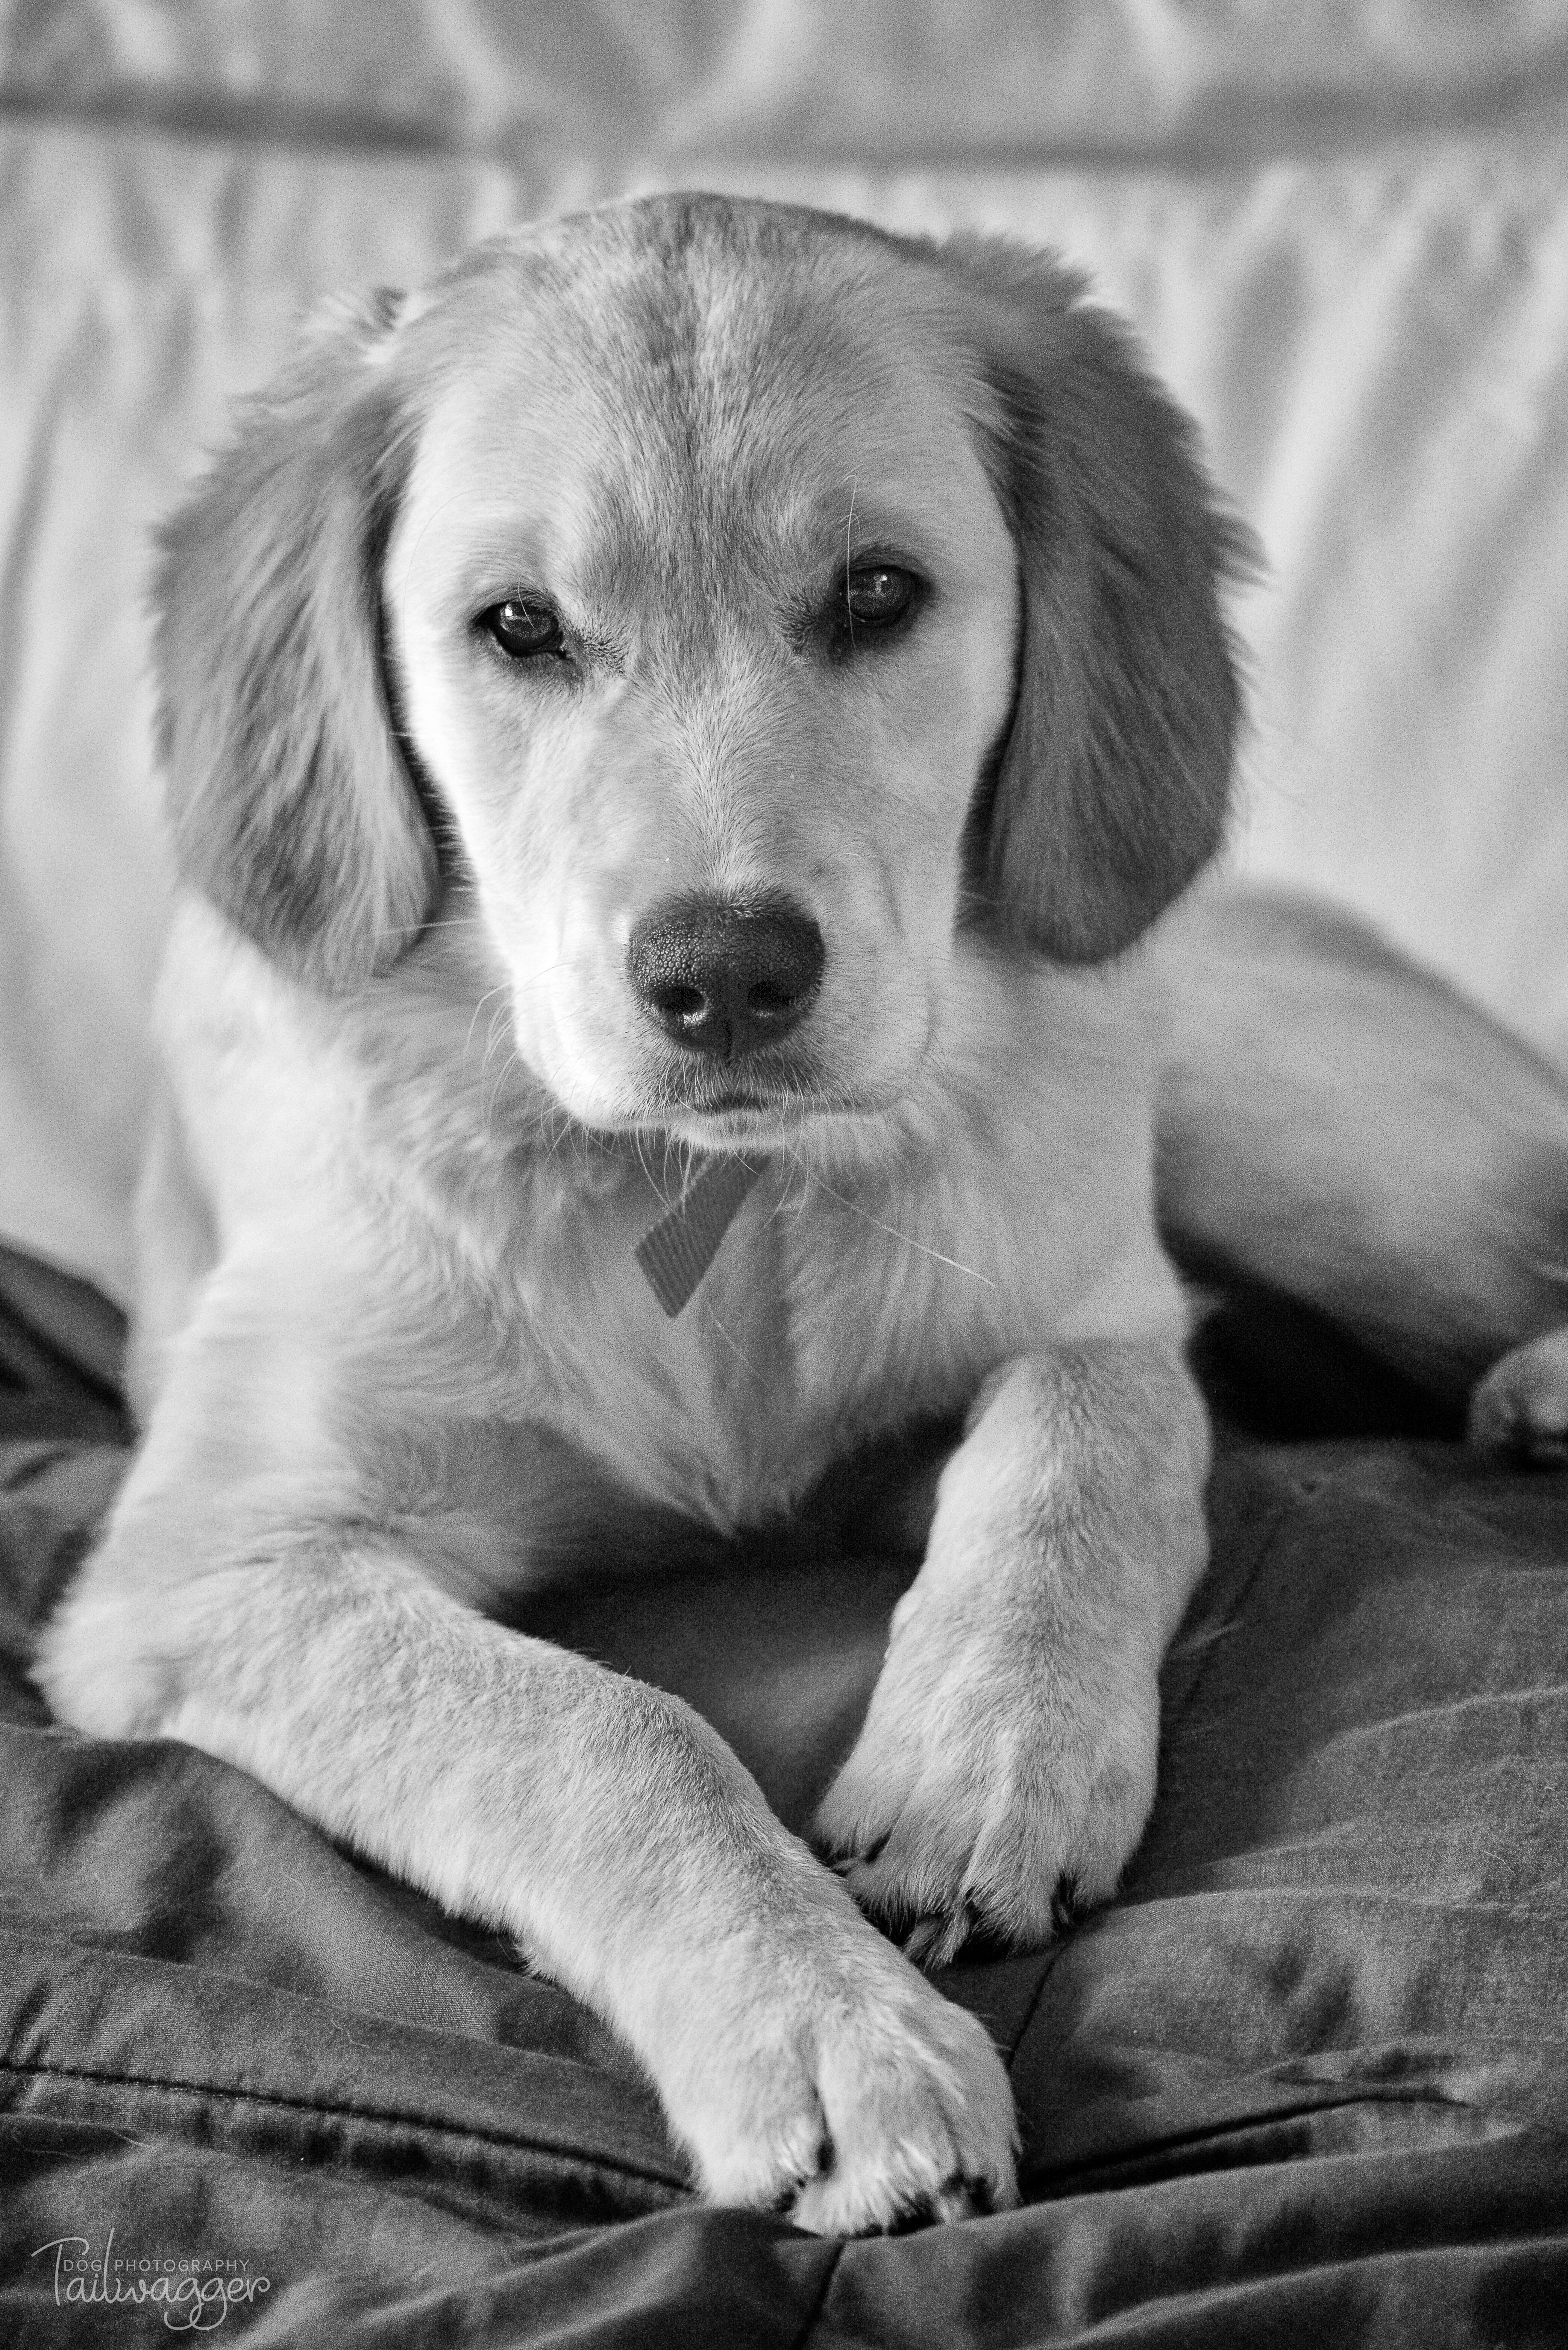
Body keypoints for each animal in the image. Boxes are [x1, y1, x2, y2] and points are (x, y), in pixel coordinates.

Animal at [33, 193, 1568, 2228]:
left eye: (877, 596)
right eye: (516, 627)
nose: (726, 976)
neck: (716, 1199)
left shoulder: (1089, 1310)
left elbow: (1078, 1451)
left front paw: (982, 1775)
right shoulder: (209, 1564)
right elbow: (603, 1721)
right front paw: (829, 2033)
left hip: (1286, 1117)